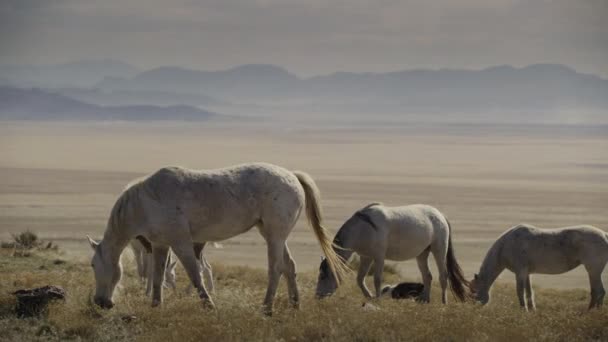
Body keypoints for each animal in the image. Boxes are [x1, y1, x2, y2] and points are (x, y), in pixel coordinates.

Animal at [88, 162, 350, 312]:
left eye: (93, 265)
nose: (100, 302)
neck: (146, 202)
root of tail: (293, 176)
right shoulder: (161, 245)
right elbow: (157, 276)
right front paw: (155, 305)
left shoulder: (181, 243)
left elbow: (195, 276)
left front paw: (209, 306)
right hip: (272, 234)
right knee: (289, 266)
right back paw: (295, 305)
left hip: (275, 236)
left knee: (276, 268)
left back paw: (266, 308)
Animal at [316, 203, 468, 302]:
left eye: (323, 276)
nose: (317, 296)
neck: (363, 228)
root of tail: (440, 214)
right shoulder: (366, 257)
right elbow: (360, 279)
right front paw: (369, 297)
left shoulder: (379, 257)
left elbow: (377, 279)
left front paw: (377, 300)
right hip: (422, 254)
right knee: (427, 276)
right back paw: (425, 301)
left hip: (439, 249)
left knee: (443, 276)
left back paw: (443, 303)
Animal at [470, 223, 608, 312]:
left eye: (473, 291)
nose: (473, 309)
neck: (506, 246)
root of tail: (604, 235)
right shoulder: (527, 273)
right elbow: (529, 292)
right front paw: (532, 310)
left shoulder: (520, 272)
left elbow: (520, 292)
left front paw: (523, 311)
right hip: (594, 272)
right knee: (598, 292)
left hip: (593, 271)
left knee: (598, 292)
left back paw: (591, 312)